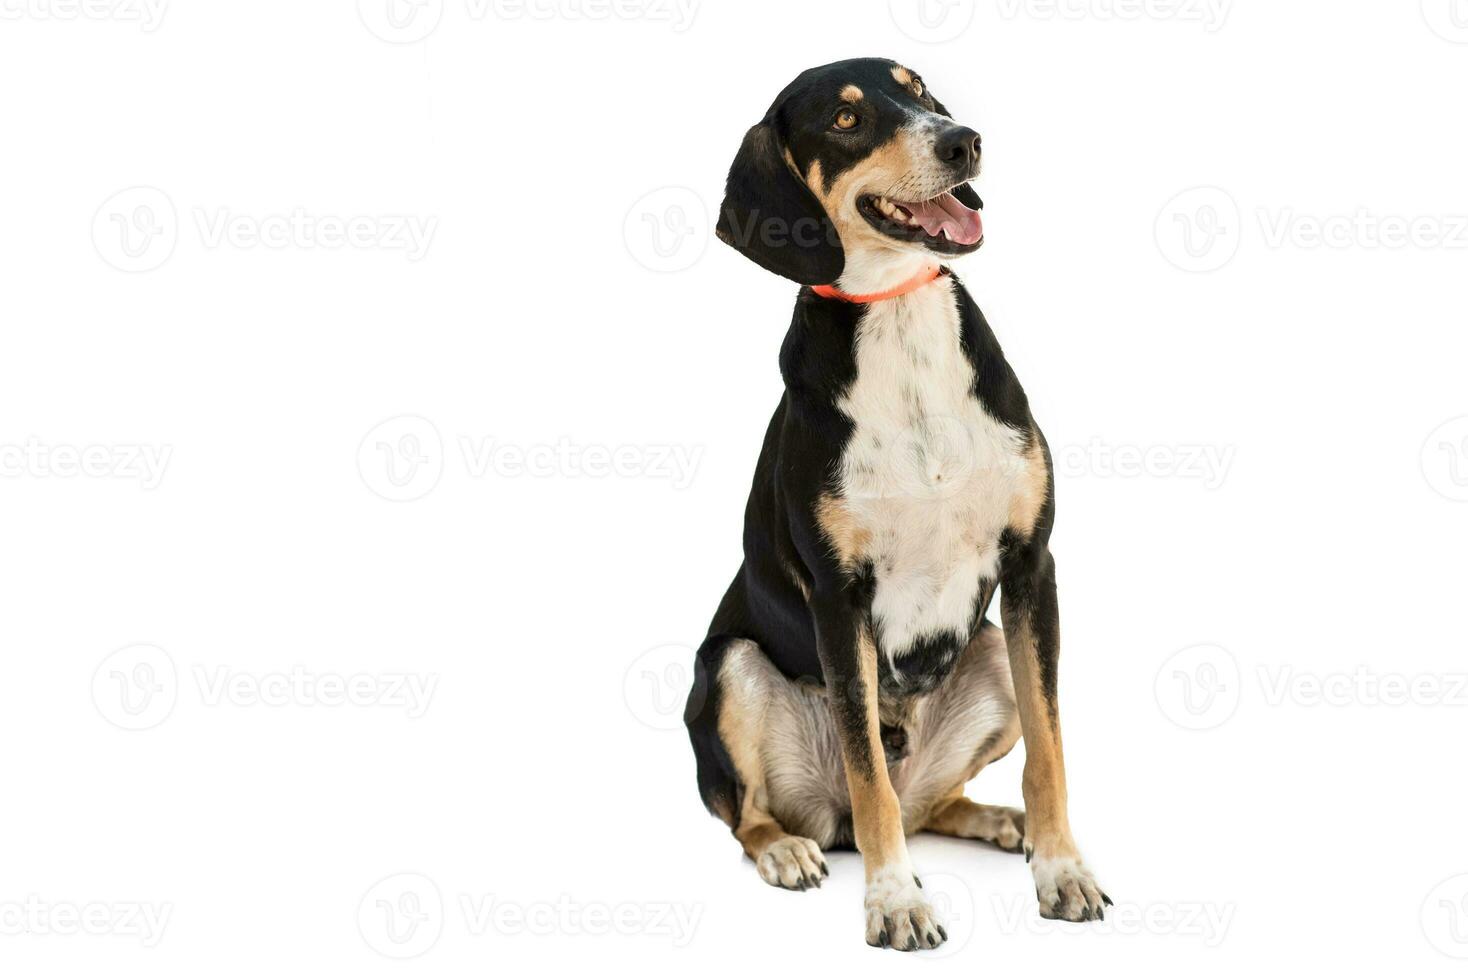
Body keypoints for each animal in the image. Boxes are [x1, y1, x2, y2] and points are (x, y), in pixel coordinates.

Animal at [681, 59, 1103, 950]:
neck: (898, 316)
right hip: (728, 665)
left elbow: (1050, 751)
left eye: (919, 92)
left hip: (992, 653)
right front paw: (895, 900)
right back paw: (789, 850)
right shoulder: (839, 601)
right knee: (757, 812)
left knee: (927, 803)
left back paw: (998, 821)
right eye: (845, 120)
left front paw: (1063, 868)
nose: (963, 140)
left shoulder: (1031, 567)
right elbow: (867, 772)